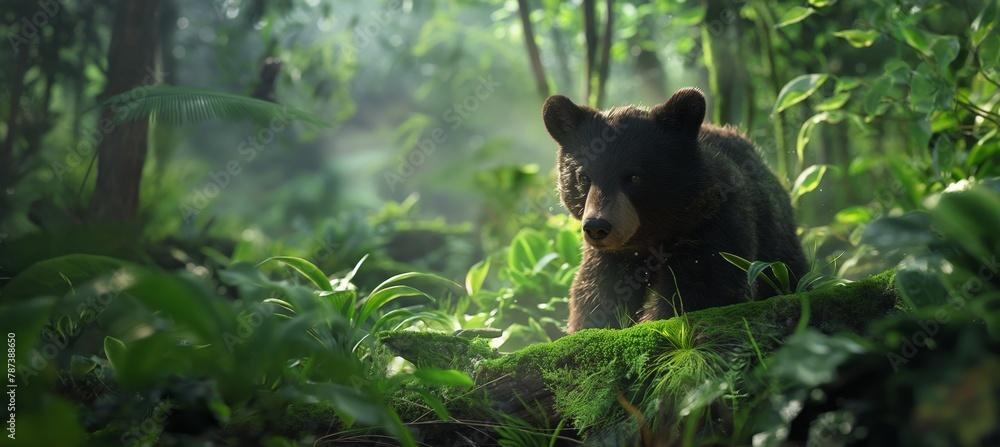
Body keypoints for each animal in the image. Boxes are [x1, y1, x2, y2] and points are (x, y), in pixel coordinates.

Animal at [542, 87, 809, 333]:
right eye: (584, 177)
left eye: (634, 177)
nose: (597, 227)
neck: (653, 235)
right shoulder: (610, 257)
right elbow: (596, 294)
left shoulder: (712, 226)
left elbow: (708, 289)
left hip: (774, 234)